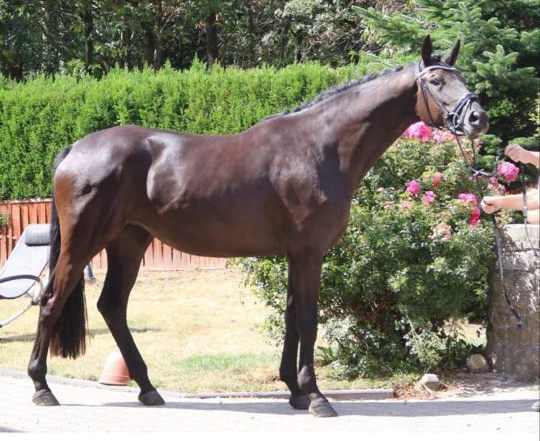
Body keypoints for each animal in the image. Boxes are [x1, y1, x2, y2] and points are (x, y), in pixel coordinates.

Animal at [27, 37, 488, 416]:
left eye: (463, 77)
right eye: (436, 80)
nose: (478, 119)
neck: (319, 146)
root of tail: (75, 148)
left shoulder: (296, 254)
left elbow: (291, 317)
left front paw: (295, 392)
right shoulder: (310, 252)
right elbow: (308, 319)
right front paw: (316, 396)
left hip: (129, 242)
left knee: (112, 307)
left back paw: (147, 388)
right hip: (83, 243)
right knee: (51, 300)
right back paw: (42, 387)